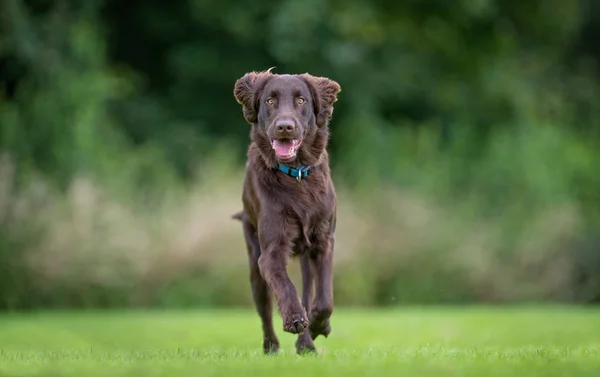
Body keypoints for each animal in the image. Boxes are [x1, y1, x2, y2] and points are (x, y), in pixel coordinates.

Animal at [232, 68, 340, 352]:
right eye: (270, 100)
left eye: (301, 100)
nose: (284, 127)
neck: (296, 174)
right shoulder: (270, 253)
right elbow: (284, 285)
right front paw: (295, 318)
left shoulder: (324, 240)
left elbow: (324, 300)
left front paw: (319, 326)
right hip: (253, 262)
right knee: (265, 309)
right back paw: (272, 345)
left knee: (309, 293)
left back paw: (307, 343)